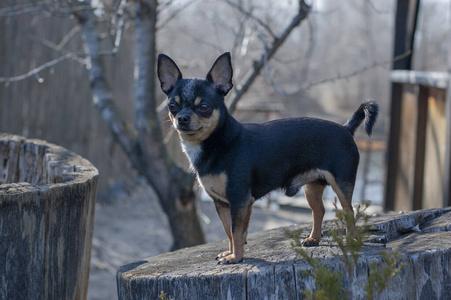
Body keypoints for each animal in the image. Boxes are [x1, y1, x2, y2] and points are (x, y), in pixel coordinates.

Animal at [157, 52, 380, 264]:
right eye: (172, 106)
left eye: (204, 106)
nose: (182, 118)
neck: (218, 142)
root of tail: (346, 128)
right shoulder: (222, 203)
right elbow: (229, 231)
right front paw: (230, 252)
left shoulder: (239, 200)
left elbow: (237, 232)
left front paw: (235, 258)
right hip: (312, 188)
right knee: (320, 211)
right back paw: (314, 239)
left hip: (342, 184)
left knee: (349, 212)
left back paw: (350, 241)